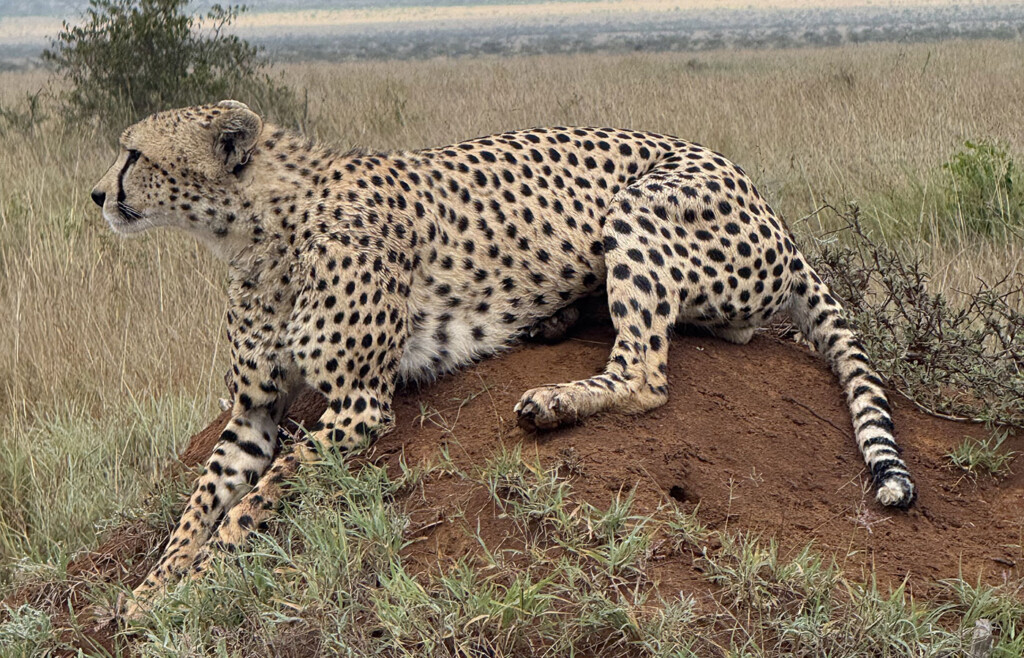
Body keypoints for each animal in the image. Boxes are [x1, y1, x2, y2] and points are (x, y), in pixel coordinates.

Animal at [92, 100, 917, 613]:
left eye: (134, 154)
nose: (97, 194)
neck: (255, 233)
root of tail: (768, 202)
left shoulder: (359, 404)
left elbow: (258, 499)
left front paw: (196, 581)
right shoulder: (254, 411)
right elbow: (200, 502)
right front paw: (153, 587)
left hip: (642, 206)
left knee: (648, 370)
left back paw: (555, 399)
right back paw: (554, 324)